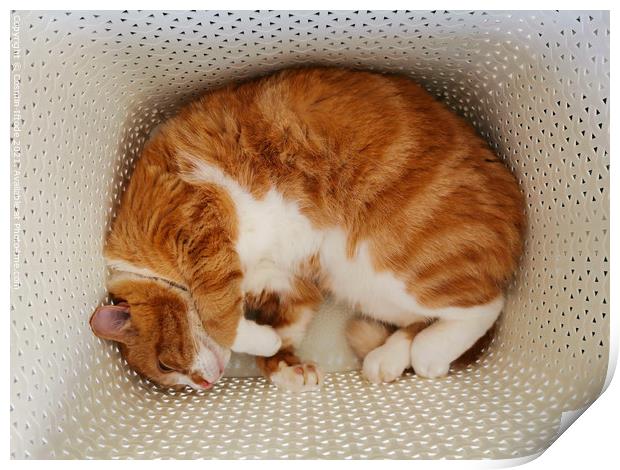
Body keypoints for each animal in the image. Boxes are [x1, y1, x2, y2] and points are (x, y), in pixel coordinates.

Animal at [88, 65, 524, 390]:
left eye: (165, 364)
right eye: (169, 376)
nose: (205, 385)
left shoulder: (200, 223)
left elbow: (220, 317)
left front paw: (253, 338)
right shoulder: (294, 285)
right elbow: (285, 330)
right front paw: (283, 364)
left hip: (396, 262)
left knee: (487, 305)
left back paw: (430, 352)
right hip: (359, 284)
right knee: (421, 320)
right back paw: (389, 358)